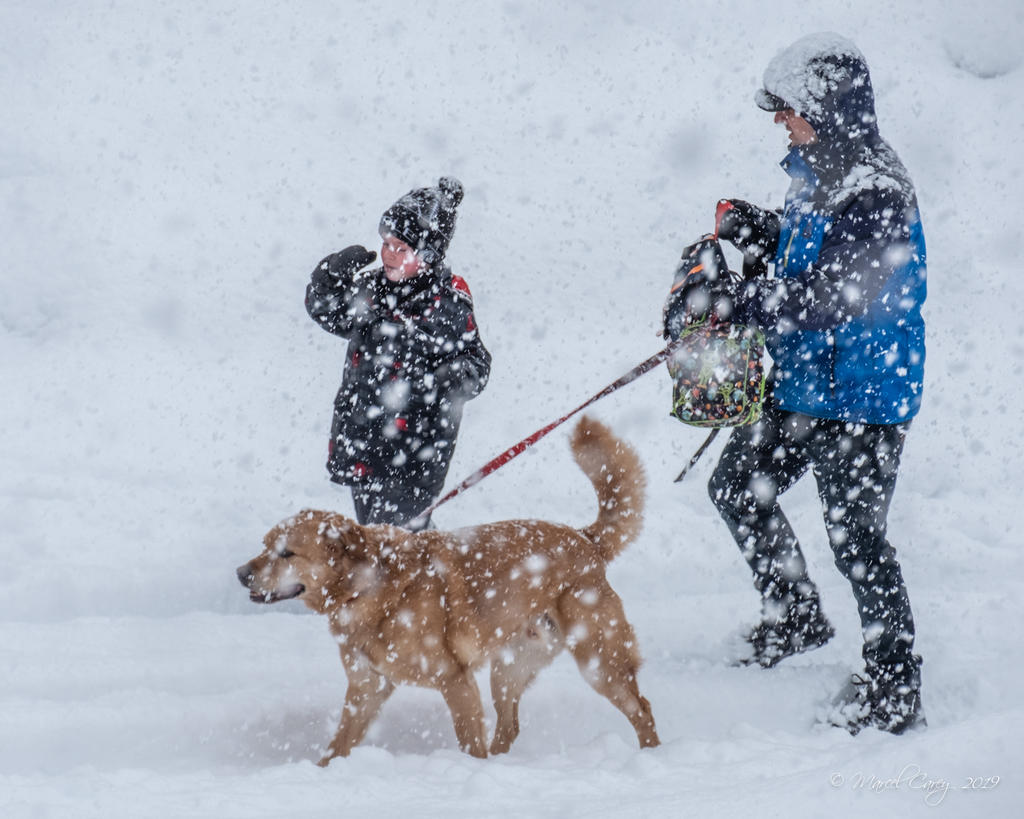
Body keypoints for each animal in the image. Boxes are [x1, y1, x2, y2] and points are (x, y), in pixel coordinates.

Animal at [237, 415, 659, 764]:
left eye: (287, 553)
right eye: (265, 545)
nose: (240, 574)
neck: (369, 588)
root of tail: (585, 539)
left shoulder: (455, 680)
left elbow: (469, 742)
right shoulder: (366, 687)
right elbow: (337, 746)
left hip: (598, 660)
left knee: (641, 708)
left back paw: (651, 756)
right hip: (509, 668)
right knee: (509, 726)